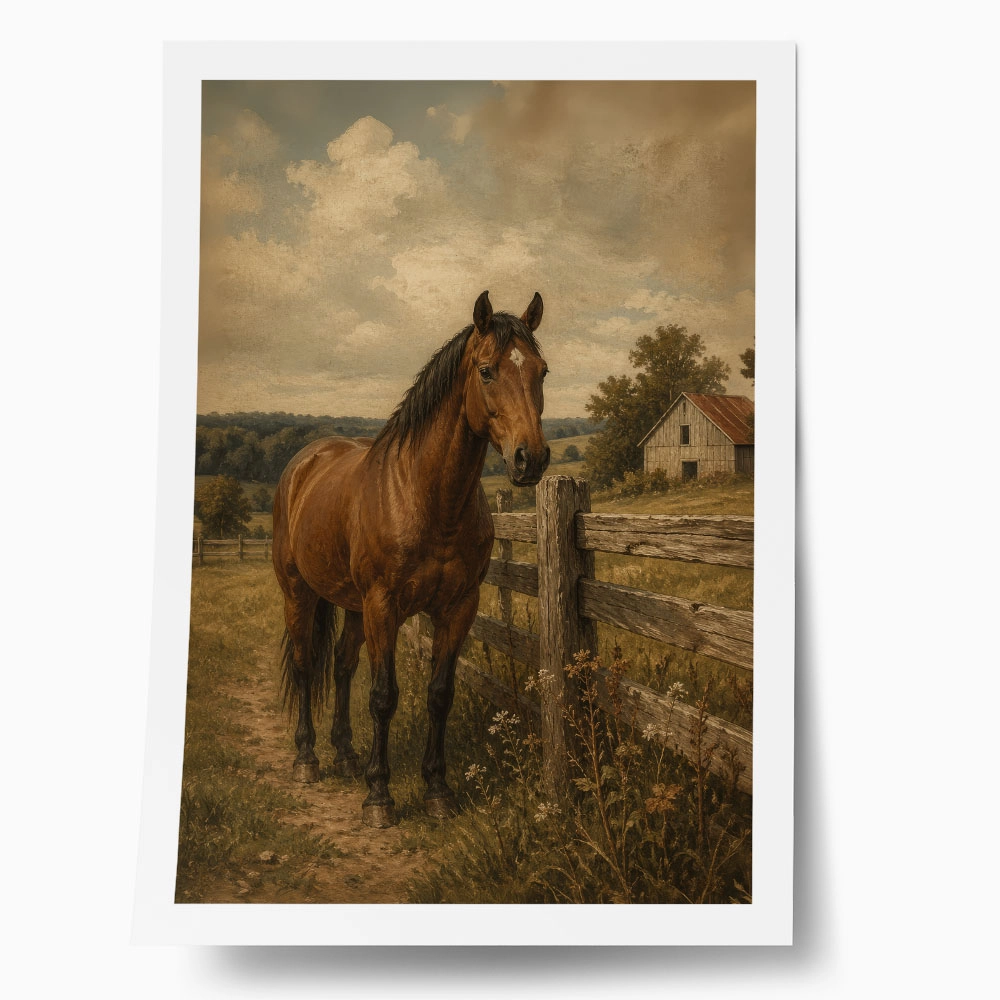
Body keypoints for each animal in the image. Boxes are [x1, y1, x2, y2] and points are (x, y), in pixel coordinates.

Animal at [270, 291, 550, 827]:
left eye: (542, 371)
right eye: (487, 371)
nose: (532, 459)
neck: (426, 496)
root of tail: (304, 462)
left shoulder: (458, 607)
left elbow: (439, 694)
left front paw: (437, 789)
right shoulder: (384, 606)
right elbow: (384, 697)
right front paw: (379, 797)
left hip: (352, 607)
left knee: (341, 666)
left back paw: (346, 756)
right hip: (300, 593)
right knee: (305, 664)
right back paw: (307, 759)